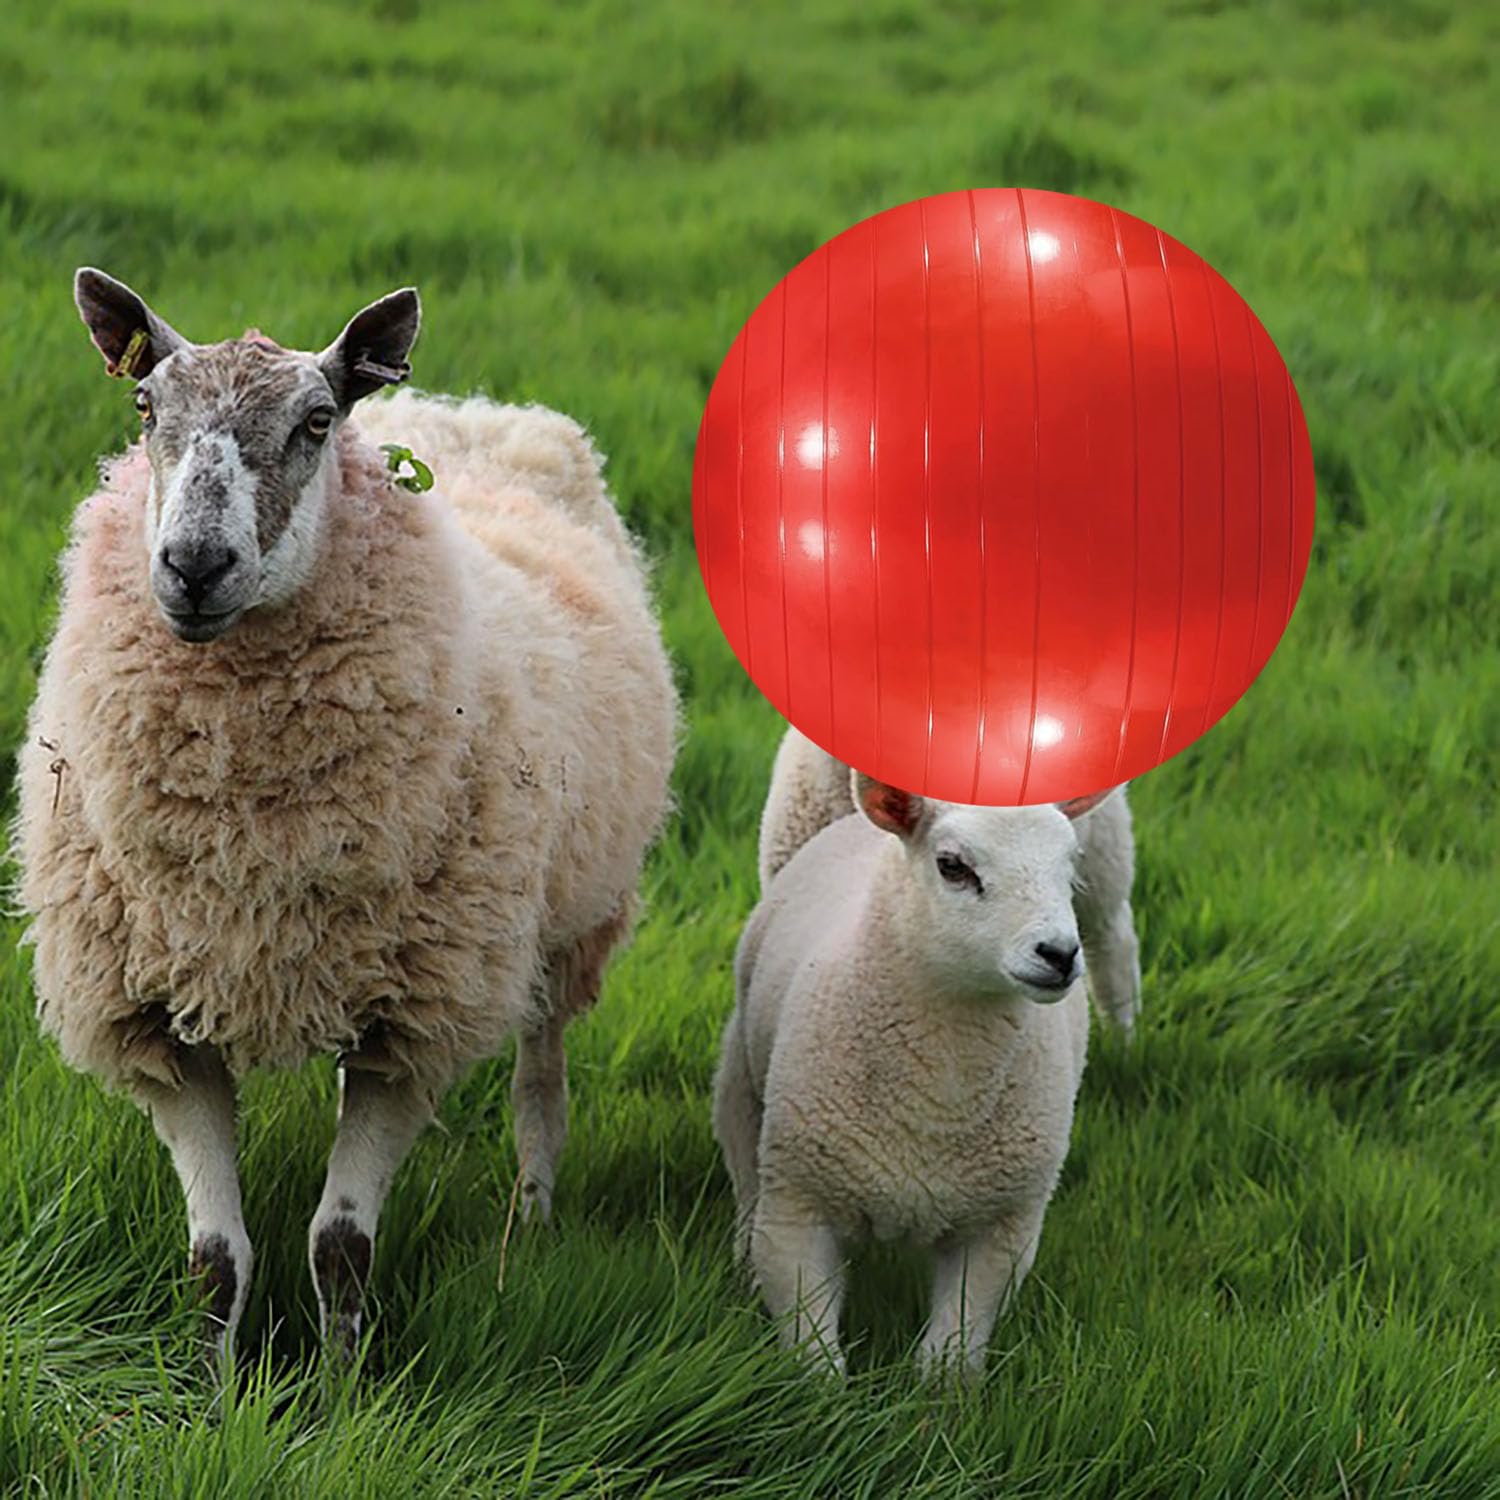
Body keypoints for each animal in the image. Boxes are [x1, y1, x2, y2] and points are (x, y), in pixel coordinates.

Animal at [12, 269, 677, 1361]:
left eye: (315, 422)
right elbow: (216, 1259)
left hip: (566, 919)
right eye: (145, 408)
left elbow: (339, 1247)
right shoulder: (159, 1018)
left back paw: (532, 1222)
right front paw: (215, 1389)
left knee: (541, 1079)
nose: (192, 565)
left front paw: (341, 1385)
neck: (248, 841)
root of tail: (468, 407)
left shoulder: (411, 1023)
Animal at [714, 767, 1139, 1378]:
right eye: (953, 866)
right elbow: (814, 1357)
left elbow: (951, 1357)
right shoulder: (797, 1207)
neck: (940, 1093)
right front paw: (819, 1397)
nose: (1058, 954)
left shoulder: (1002, 1228)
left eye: (1069, 862)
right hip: (742, 1091)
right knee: (745, 1177)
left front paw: (938, 1401)